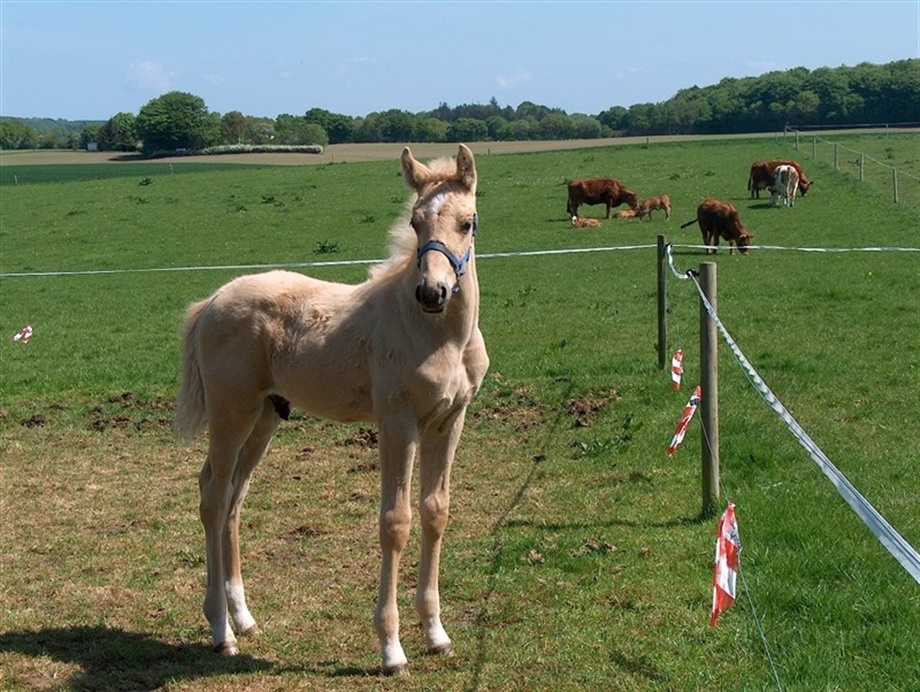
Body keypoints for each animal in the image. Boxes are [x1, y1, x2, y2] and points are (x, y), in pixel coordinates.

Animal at [175, 144, 489, 676]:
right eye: (415, 221)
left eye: (467, 223)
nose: (432, 293)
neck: (437, 336)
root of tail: (214, 299)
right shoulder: (398, 424)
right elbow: (395, 522)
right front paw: (391, 649)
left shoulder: (449, 421)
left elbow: (435, 512)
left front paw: (436, 633)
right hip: (231, 412)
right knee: (214, 497)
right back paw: (221, 631)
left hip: (264, 417)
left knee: (234, 495)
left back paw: (244, 618)